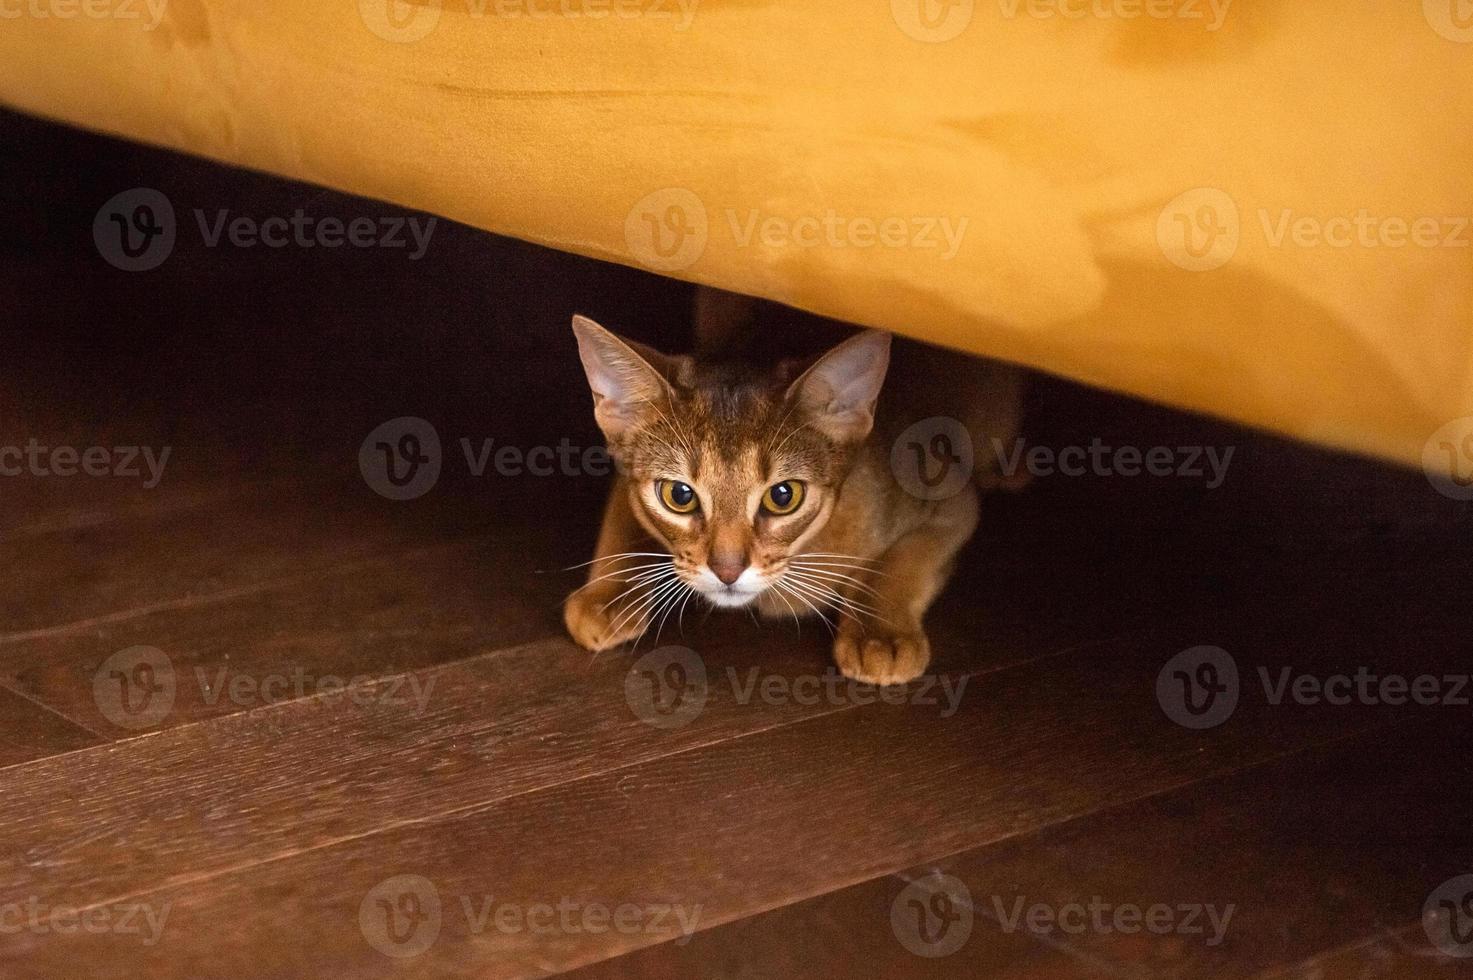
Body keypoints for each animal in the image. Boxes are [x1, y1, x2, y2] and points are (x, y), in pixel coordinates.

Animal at [562, 290, 1025, 683]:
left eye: (783, 496)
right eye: (679, 495)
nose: (727, 571)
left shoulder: (952, 500)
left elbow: (900, 564)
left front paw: (879, 636)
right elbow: (622, 522)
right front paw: (606, 595)